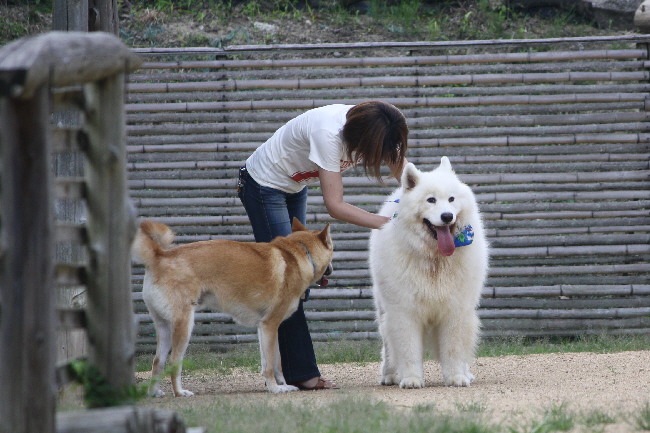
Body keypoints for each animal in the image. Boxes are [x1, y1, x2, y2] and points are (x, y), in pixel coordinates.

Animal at [132, 217, 333, 396]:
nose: (332, 270)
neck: (301, 254)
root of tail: (160, 255)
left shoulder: (265, 328)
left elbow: (274, 363)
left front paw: (281, 385)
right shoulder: (270, 325)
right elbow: (270, 364)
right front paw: (275, 388)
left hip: (164, 327)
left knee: (157, 361)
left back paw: (154, 392)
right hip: (184, 326)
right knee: (173, 362)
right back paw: (180, 392)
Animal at [369, 157, 489, 388]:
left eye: (451, 199)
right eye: (431, 200)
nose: (447, 216)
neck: (435, 259)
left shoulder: (455, 310)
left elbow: (453, 349)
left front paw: (456, 377)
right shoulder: (404, 312)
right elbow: (409, 350)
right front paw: (411, 379)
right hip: (384, 311)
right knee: (388, 347)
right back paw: (390, 375)